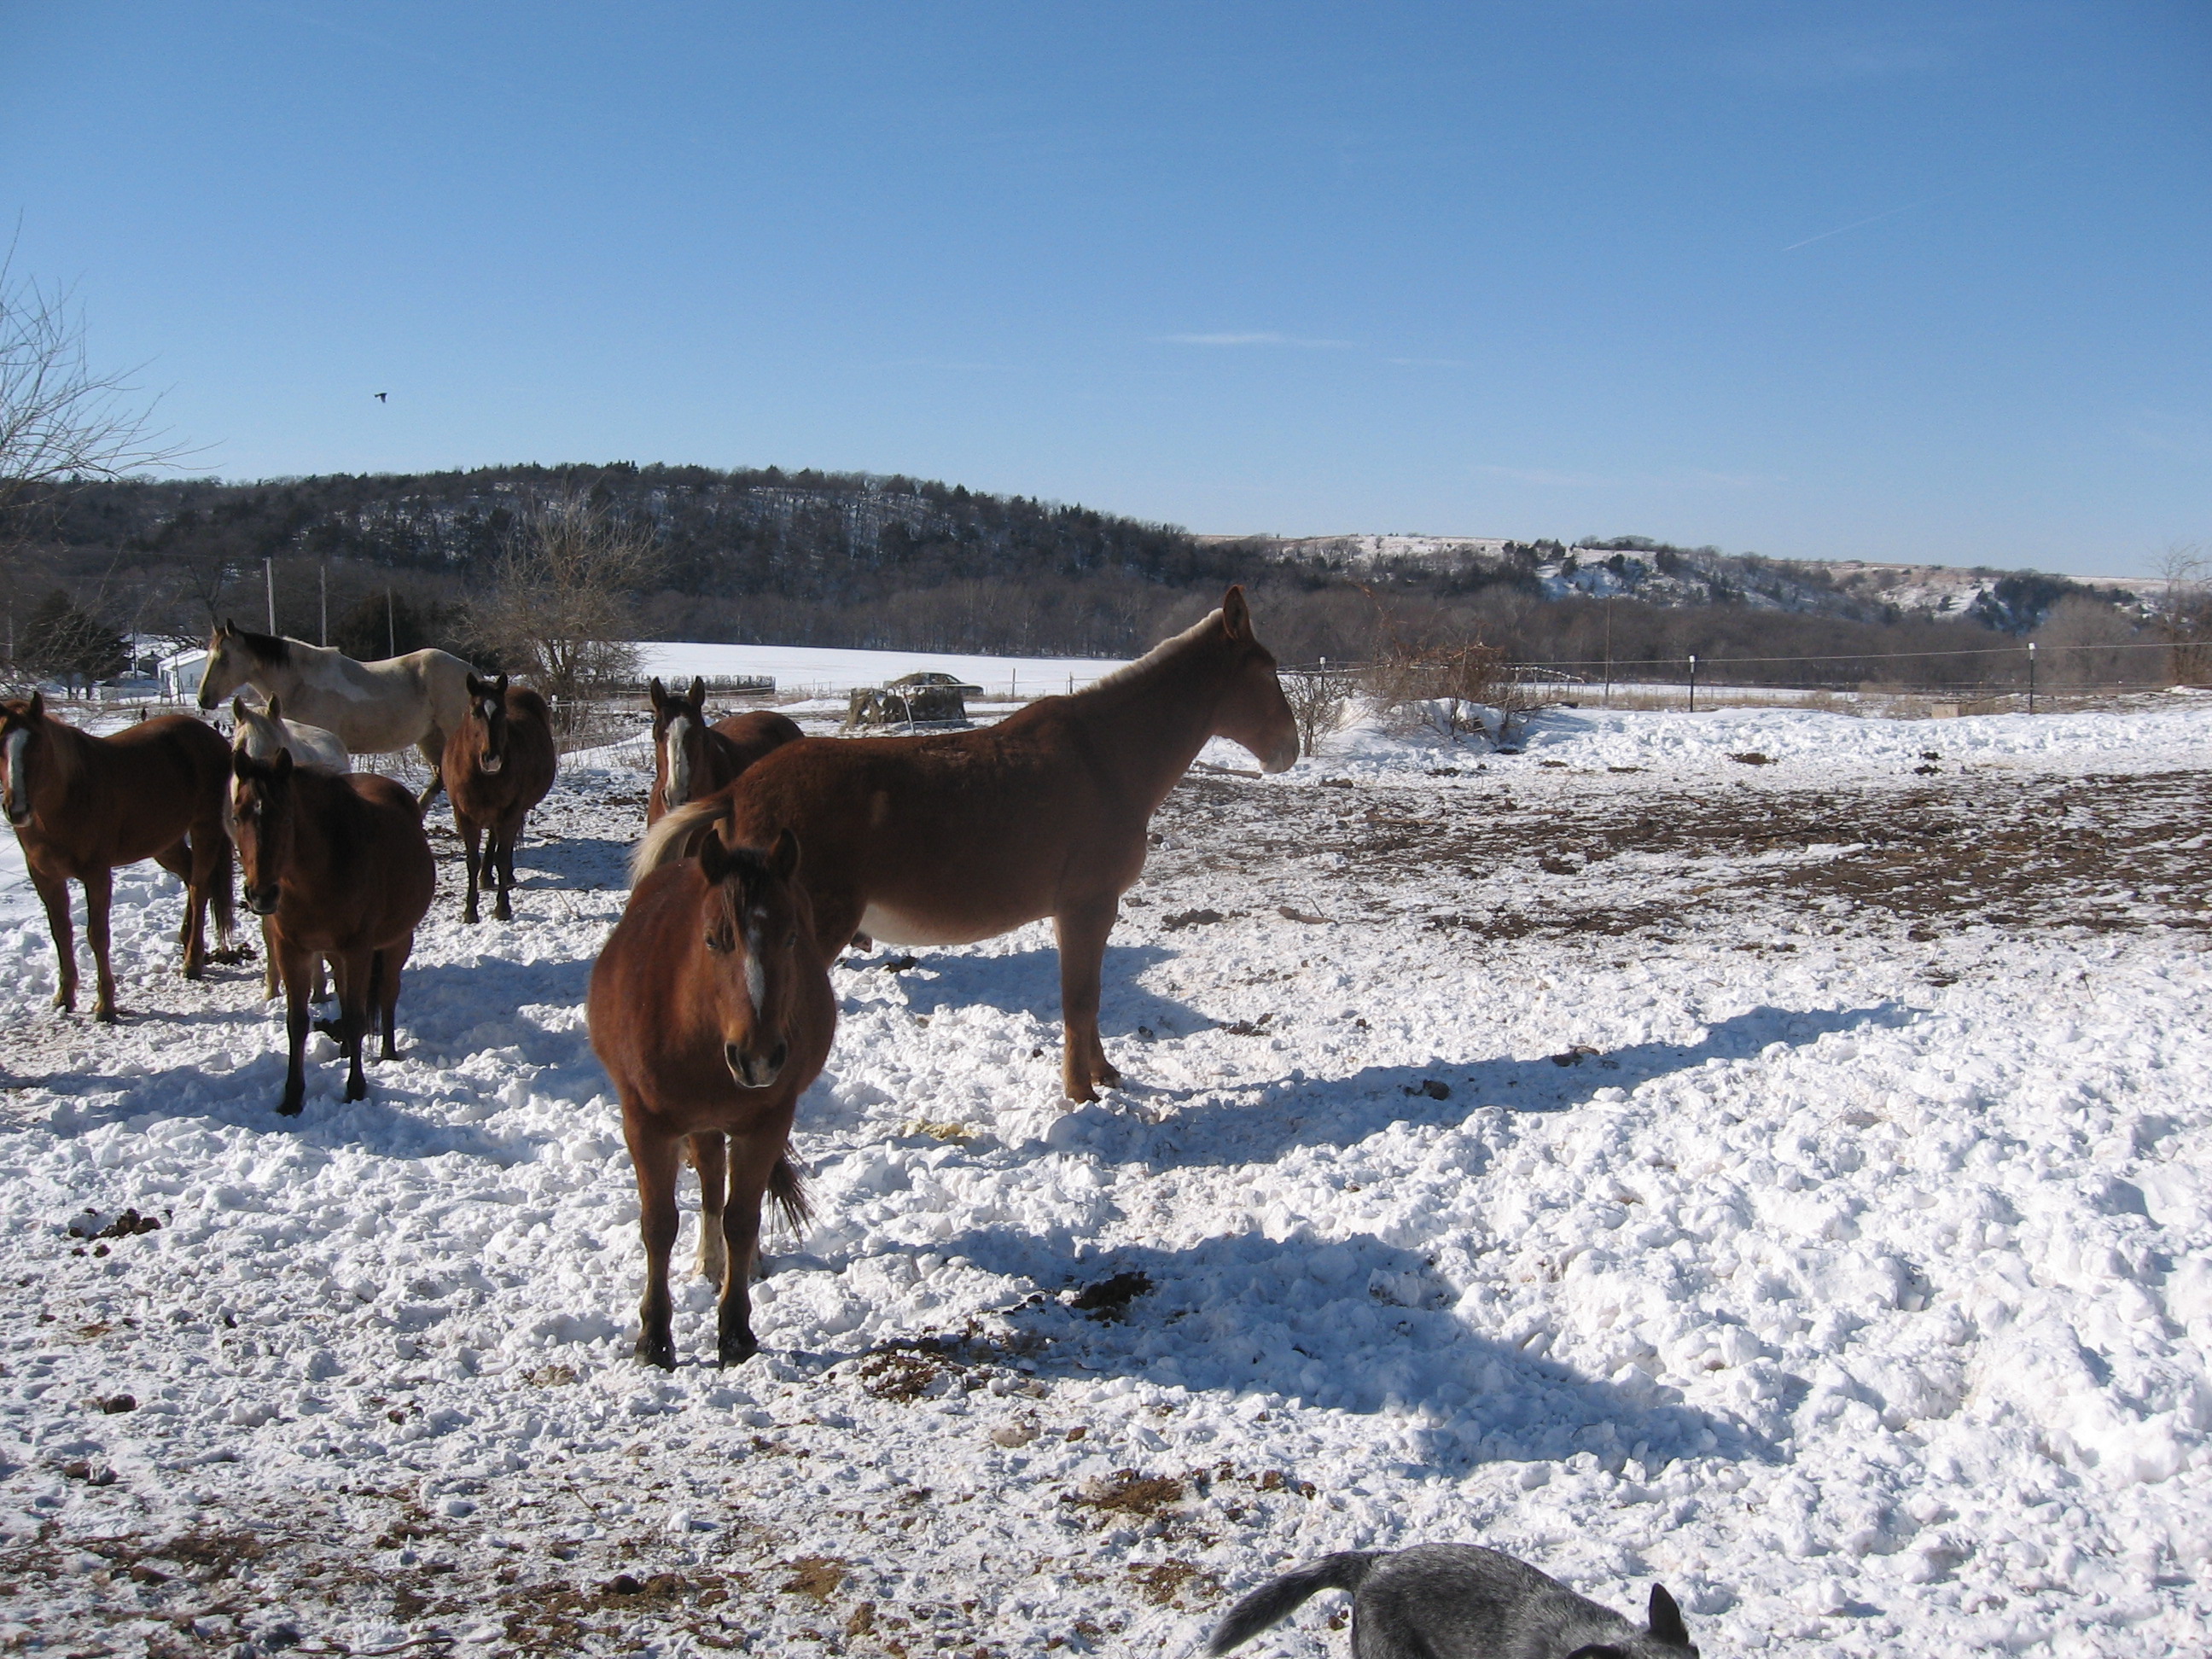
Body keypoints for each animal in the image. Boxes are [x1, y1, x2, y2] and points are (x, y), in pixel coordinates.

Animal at [2, 693, 236, 1022]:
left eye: (36, 744)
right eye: (0, 744)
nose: (17, 809)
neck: (68, 796)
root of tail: (213, 738)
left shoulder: (97, 875)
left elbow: (97, 935)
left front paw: (105, 1005)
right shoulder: (45, 877)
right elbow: (61, 933)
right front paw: (64, 997)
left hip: (205, 829)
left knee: (199, 886)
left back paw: (192, 961)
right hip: (163, 843)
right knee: (190, 875)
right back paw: (188, 941)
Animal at [229, 748, 435, 1114]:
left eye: (287, 818)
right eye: (238, 818)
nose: (261, 895)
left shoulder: (357, 950)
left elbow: (355, 1018)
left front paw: (355, 1089)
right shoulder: (292, 950)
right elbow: (297, 1023)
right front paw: (292, 1098)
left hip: (397, 942)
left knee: (387, 993)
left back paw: (388, 1052)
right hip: (333, 953)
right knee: (343, 991)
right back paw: (344, 1051)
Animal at [444, 673, 559, 924]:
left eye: (502, 712)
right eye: (475, 712)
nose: (492, 759)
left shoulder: (510, 812)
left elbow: (503, 857)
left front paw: (503, 908)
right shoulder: (464, 816)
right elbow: (472, 861)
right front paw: (470, 912)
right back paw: (486, 878)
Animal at [589, 827, 835, 1369]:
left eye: (791, 937)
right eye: (712, 939)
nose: (758, 1057)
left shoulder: (766, 1123)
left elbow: (741, 1220)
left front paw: (735, 1333)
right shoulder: (646, 1125)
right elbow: (659, 1225)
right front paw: (654, 1338)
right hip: (695, 1123)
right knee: (707, 1180)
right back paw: (707, 1261)